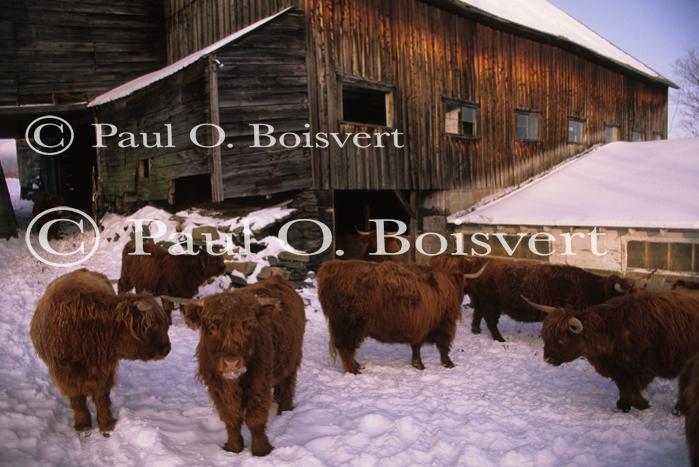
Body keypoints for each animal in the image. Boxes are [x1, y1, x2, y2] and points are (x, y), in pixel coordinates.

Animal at [29, 269, 171, 433]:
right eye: (154, 325)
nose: (167, 348)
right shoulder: (65, 373)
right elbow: (77, 399)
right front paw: (83, 425)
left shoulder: (105, 368)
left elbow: (101, 397)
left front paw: (106, 424)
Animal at [163, 275, 305, 457]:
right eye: (212, 326)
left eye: (249, 326)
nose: (231, 363)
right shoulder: (217, 386)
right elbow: (231, 418)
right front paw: (233, 447)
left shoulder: (259, 384)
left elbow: (255, 418)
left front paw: (261, 450)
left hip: (293, 359)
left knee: (288, 385)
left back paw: (284, 410)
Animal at [317, 259, 486, 373]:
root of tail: (329, 268)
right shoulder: (444, 322)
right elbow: (443, 346)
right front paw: (448, 364)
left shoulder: (420, 324)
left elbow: (417, 346)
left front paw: (418, 365)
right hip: (349, 324)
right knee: (346, 348)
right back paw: (354, 370)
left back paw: (357, 366)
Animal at [430, 255, 636, 342]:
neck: (590, 289)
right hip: (492, 304)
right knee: (490, 321)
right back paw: (499, 339)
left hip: (483, 301)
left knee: (478, 315)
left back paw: (476, 331)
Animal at [525, 290, 699, 412]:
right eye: (545, 337)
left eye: (561, 340)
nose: (547, 359)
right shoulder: (619, 371)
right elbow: (623, 389)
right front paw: (622, 406)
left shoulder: (644, 369)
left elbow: (630, 390)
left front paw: (643, 404)